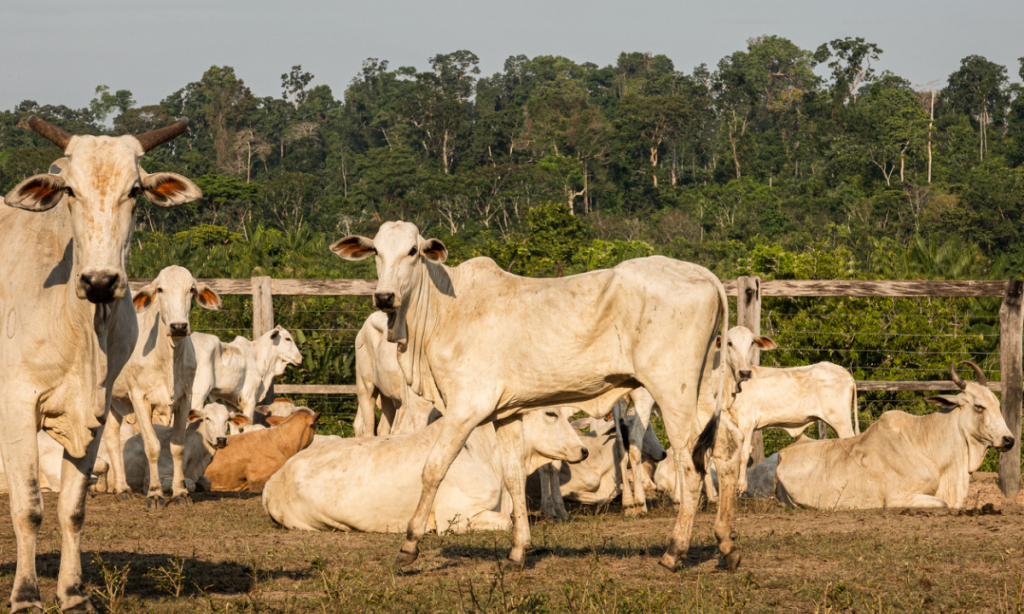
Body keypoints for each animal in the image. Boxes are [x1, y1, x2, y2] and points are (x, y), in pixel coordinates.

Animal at [0, 116, 201, 614]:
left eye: (135, 190)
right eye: (70, 190)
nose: (100, 281)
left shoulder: (94, 408)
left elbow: (73, 508)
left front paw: (73, 594)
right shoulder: (16, 405)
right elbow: (28, 508)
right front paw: (26, 596)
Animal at [104, 266, 222, 505]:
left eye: (191, 289)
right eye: (160, 289)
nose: (178, 326)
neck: (167, 355)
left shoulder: (185, 398)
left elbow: (177, 447)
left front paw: (180, 492)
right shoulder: (139, 398)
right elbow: (152, 446)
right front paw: (155, 493)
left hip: (115, 402)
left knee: (112, 438)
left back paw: (122, 489)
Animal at [333, 222, 745, 577]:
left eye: (413, 251)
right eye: (376, 251)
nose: (384, 296)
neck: (445, 310)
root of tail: (705, 275)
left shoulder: (467, 407)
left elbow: (433, 468)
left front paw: (409, 545)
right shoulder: (506, 413)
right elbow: (514, 475)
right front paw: (519, 551)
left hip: (673, 392)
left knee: (689, 464)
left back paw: (675, 551)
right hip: (703, 390)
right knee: (725, 448)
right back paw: (726, 546)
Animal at [774, 362, 1015, 511]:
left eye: (996, 403)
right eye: (979, 406)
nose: (1009, 440)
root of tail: (782, 455)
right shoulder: (898, 497)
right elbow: (943, 504)